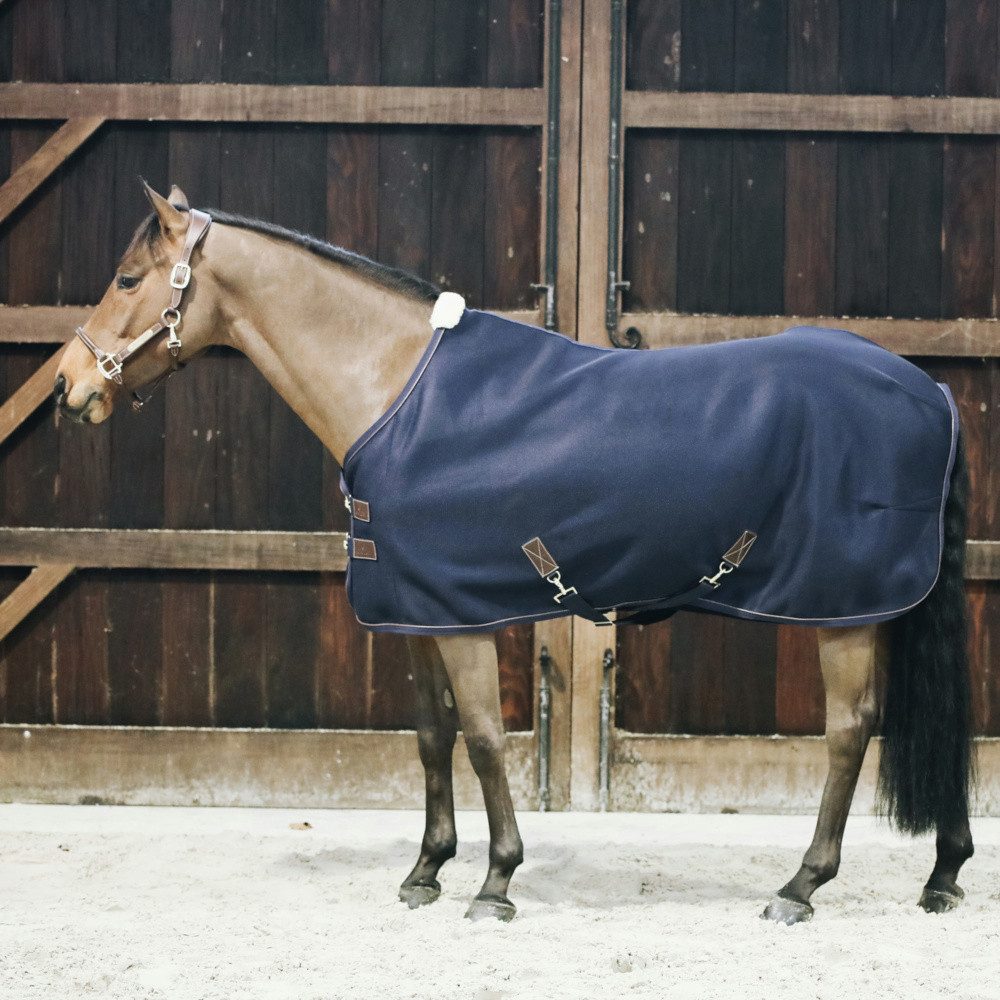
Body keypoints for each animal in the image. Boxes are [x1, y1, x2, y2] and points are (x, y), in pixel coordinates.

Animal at [53, 182, 975, 924]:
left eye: (128, 279)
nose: (67, 386)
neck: (398, 391)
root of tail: (929, 389)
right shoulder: (416, 612)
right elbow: (433, 736)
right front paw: (425, 871)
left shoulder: (463, 619)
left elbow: (488, 738)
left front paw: (495, 883)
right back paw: (943, 874)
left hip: (844, 613)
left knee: (849, 732)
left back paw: (800, 886)